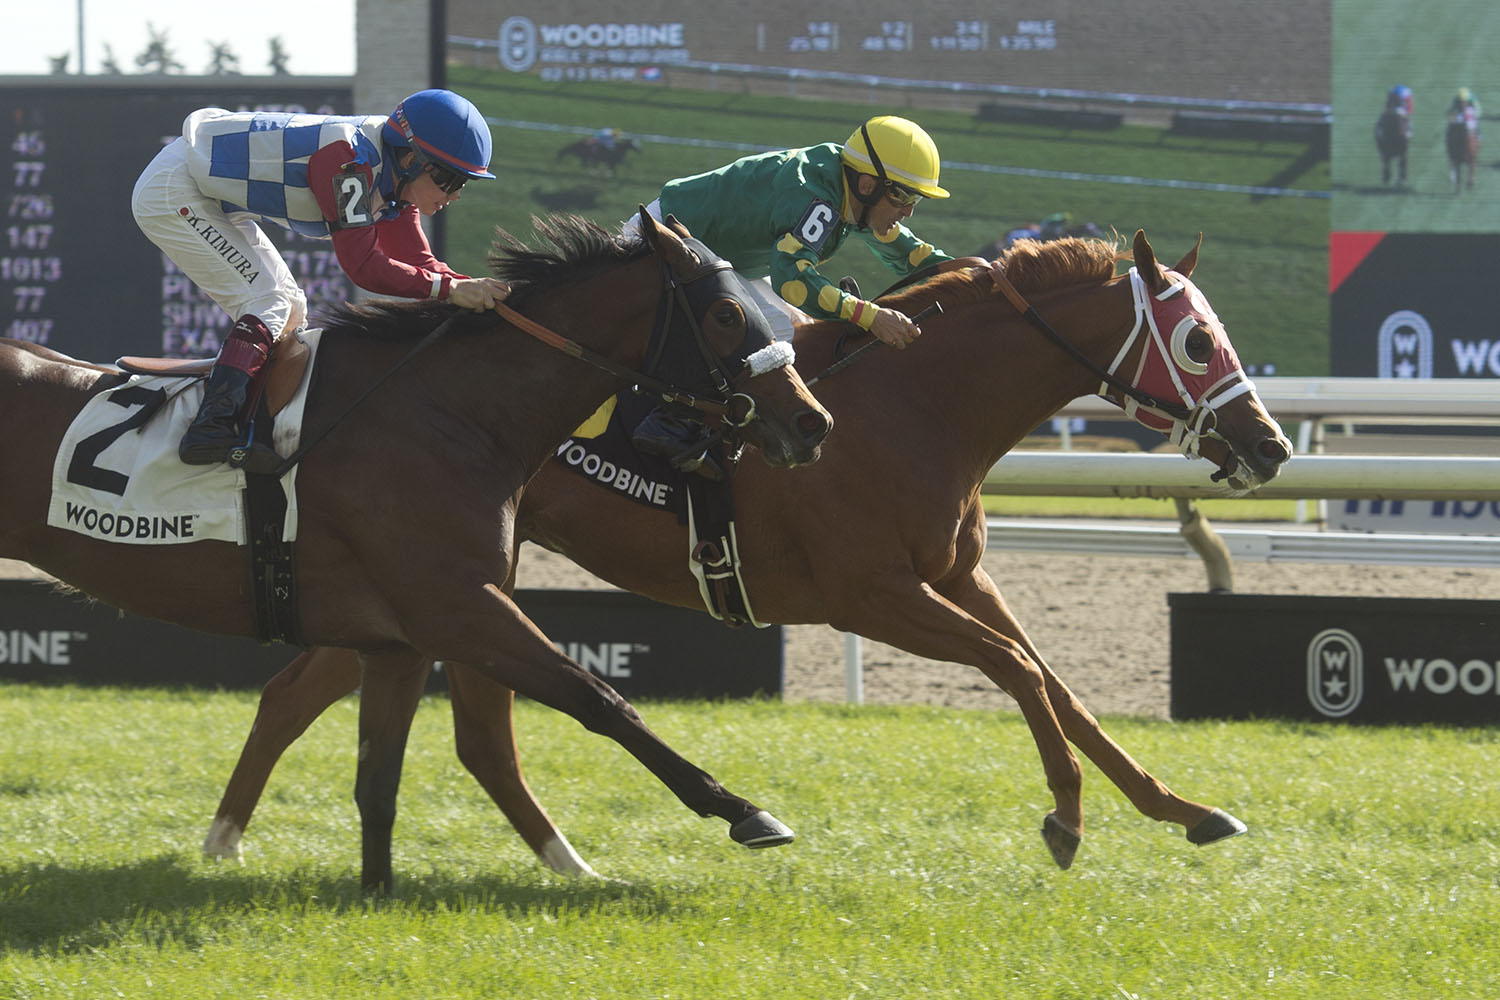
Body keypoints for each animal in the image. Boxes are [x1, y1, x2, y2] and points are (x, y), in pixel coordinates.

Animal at [0, 209, 833, 892]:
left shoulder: (397, 640)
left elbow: (379, 782)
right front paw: (746, 812)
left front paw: (376, 895)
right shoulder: (456, 604)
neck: (450, 411)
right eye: (727, 312)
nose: (812, 420)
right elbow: (599, 698)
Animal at [201, 230, 1293, 876]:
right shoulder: (871, 593)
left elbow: (1054, 679)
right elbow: (1018, 670)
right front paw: (1066, 819)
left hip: (436, 582)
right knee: (363, 704)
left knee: (309, 694)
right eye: (1198, 343)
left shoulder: (955, 574)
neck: (916, 404)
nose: (1273, 447)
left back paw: (230, 838)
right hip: (444, 579)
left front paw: (1183, 808)